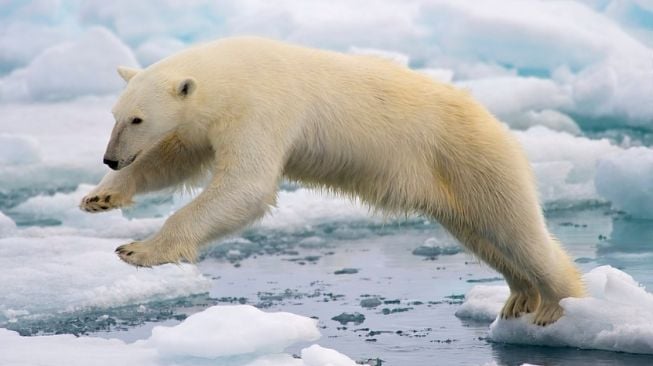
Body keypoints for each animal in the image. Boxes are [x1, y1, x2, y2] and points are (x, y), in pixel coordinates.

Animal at [80, 35, 584, 324]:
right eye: (115, 115)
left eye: (138, 118)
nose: (110, 158)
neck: (231, 73)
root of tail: (494, 121)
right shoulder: (208, 122)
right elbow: (176, 158)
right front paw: (100, 197)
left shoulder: (262, 107)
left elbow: (246, 185)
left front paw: (138, 250)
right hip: (452, 183)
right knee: (483, 235)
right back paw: (519, 297)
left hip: (471, 157)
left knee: (516, 229)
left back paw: (557, 305)